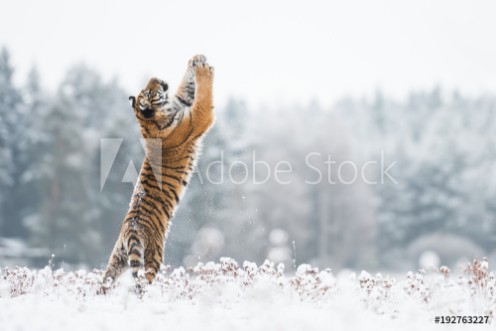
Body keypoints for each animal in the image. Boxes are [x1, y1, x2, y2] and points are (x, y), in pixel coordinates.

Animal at [101, 53, 214, 288]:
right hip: (153, 256)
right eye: (149, 91)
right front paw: (204, 71)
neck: (149, 118)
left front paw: (195, 60)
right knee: (143, 282)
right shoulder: (197, 118)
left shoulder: (181, 100)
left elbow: (187, 88)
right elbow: (204, 96)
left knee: (105, 281)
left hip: (117, 259)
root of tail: (131, 230)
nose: (155, 78)